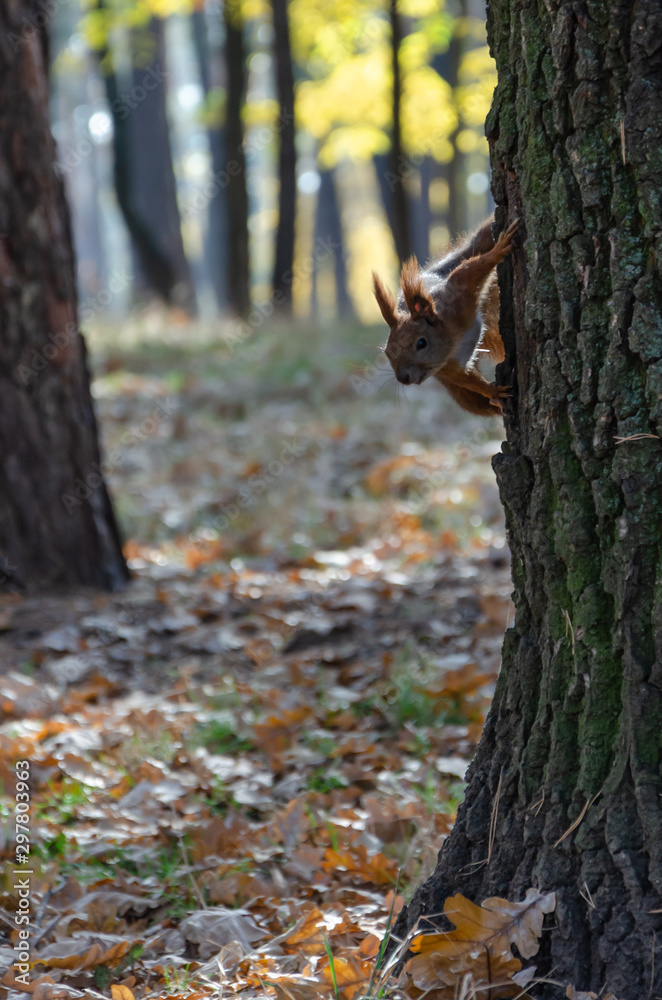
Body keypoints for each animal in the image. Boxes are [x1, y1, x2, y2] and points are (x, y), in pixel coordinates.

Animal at [372, 216, 518, 417]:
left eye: (421, 343)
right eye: (387, 352)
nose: (403, 378)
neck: (453, 337)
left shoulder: (458, 293)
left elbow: (470, 269)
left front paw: (499, 250)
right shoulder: (448, 368)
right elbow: (467, 379)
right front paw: (494, 392)